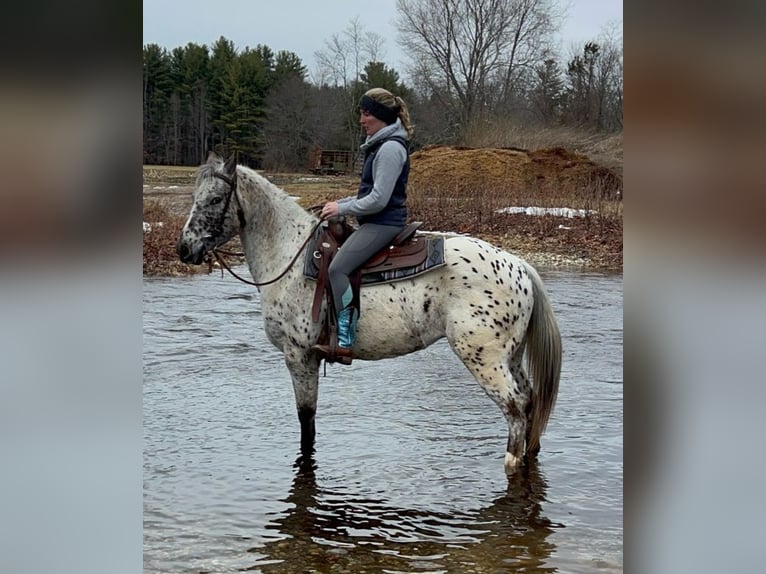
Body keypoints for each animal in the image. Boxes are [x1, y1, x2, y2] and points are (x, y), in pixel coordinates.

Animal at [176, 152, 562, 475]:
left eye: (214, 199)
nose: (184, 249)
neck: (291, 256)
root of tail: (519, 266)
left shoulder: (299, 355)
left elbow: (306, 422)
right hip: (511, 357)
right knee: (529, 401)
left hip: (485, 359)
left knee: (514, 407)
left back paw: (511, 463)